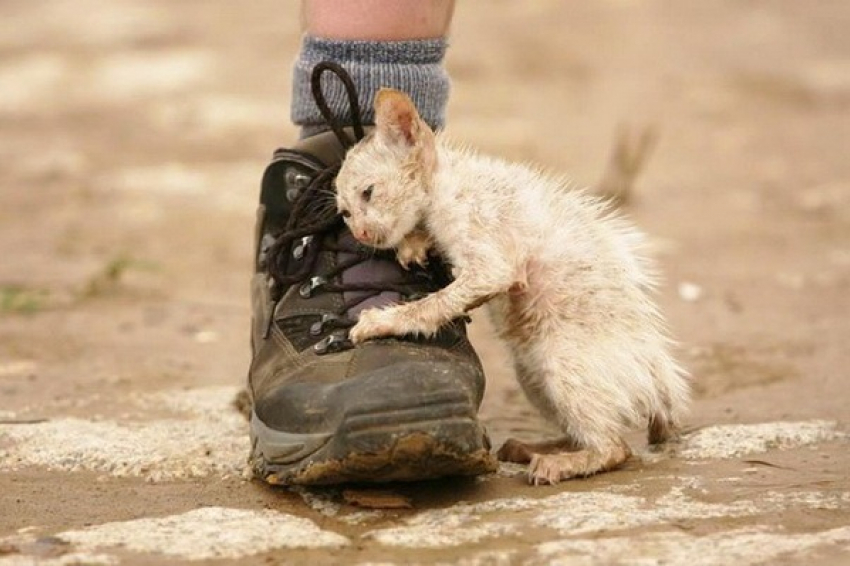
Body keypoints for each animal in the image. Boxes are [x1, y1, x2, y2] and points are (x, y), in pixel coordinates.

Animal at [332, 90, 688, 488]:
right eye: (345, 213)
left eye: (369, 192)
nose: (361, 233)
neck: (447, 182)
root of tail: (660, 384)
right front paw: (414, 243)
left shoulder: (490, 259)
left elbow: (435, 303)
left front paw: (380, 321)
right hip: (532, 375)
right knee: (589, 431)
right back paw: (533, 448)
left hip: (563, 362)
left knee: (614, 448)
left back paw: (559, 463)